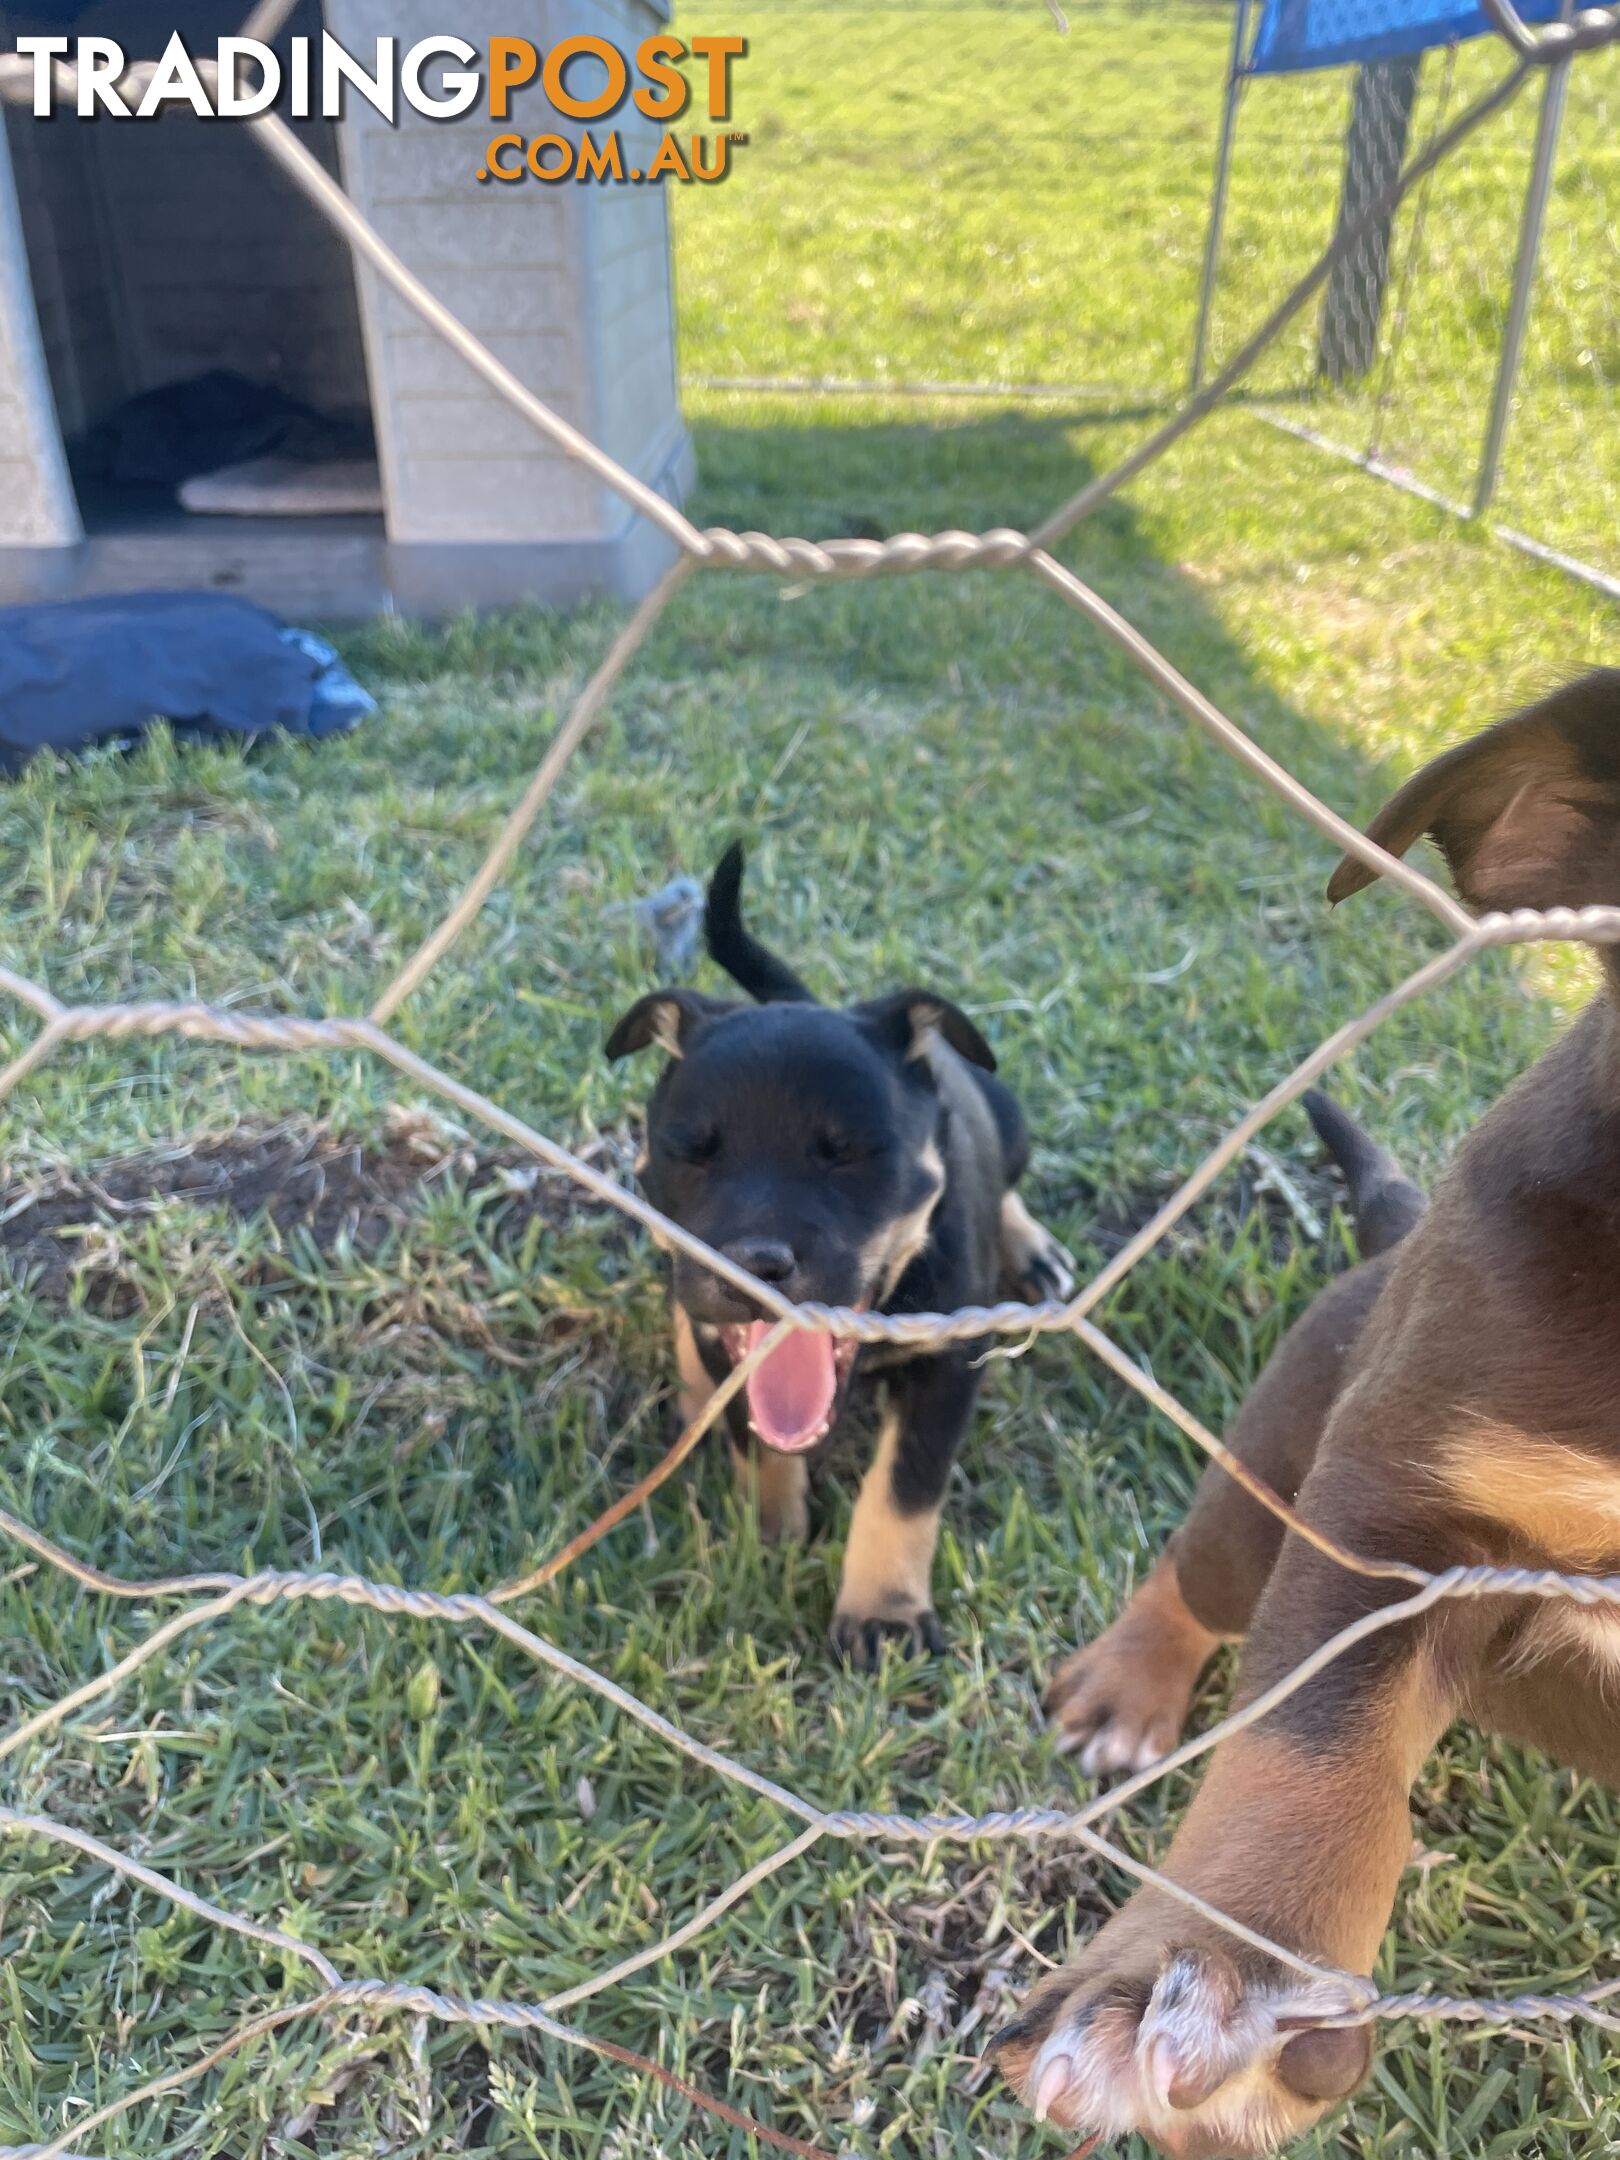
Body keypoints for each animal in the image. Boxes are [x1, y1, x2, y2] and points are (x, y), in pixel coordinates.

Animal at [604, 842, 1071, 1667]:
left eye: (850, 1154)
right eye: (690, 1152)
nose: (753, 1263)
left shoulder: (949, 1364)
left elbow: (904, 1488)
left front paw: (883, 1616)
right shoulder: (739, 1357)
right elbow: (759, 1444)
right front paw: (771, 1537)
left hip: (1007, 1115)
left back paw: (1031, 1250)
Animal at [1002, 665, 1620, 2151]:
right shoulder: (1398, 1511)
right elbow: (1312, 1742)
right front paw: (1226, 1973)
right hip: (1274, 1469)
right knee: (1196, 1574)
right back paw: (1126, 1691)